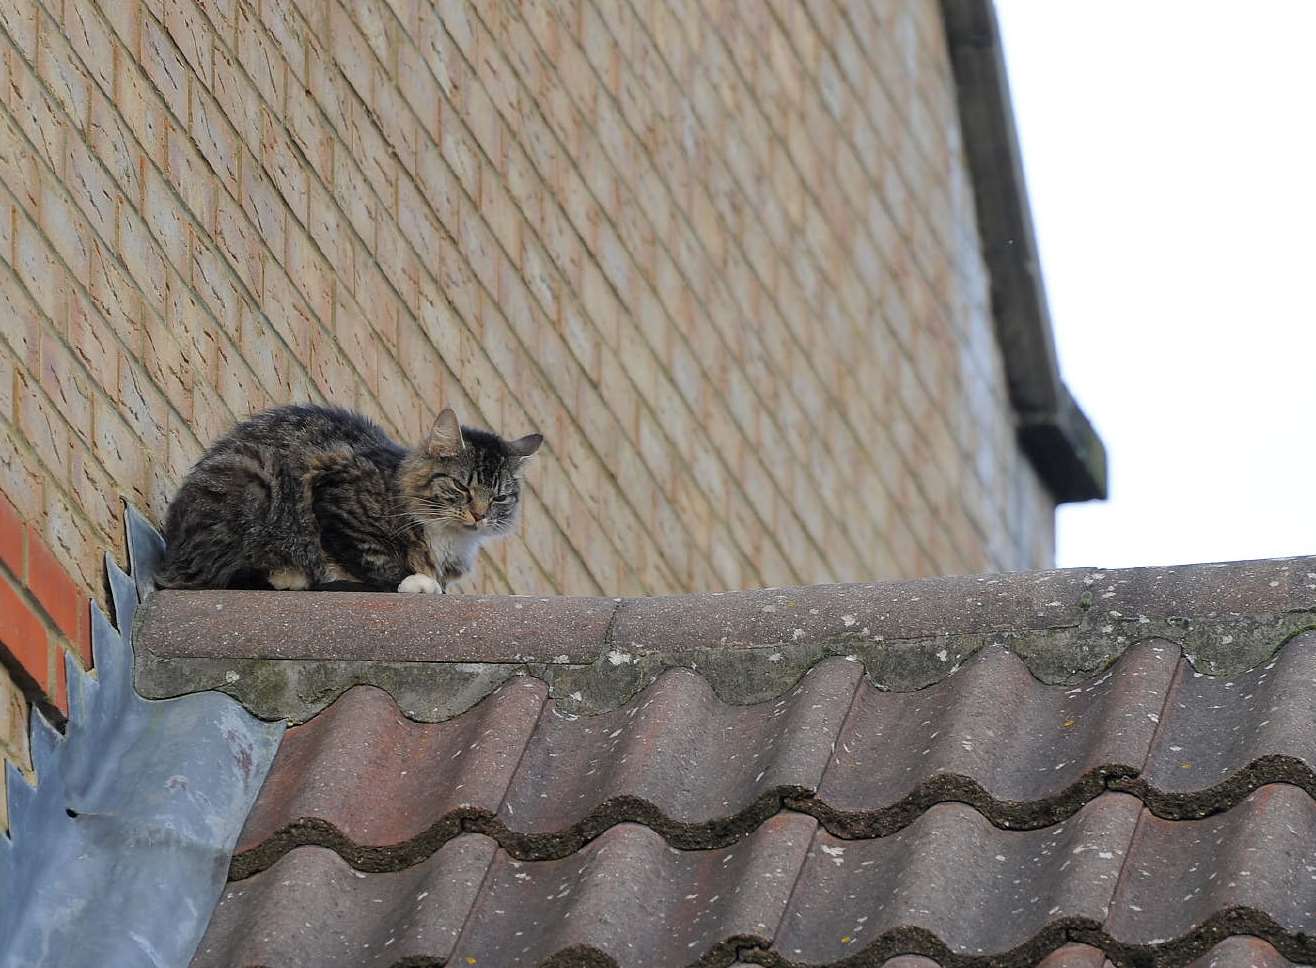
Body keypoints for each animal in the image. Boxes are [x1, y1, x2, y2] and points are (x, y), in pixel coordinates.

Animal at [156, 405, 542, 594]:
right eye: (462, 487)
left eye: (499, 497)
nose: (479, 515)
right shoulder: (335, 492)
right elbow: (373, 557)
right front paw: (413, 581)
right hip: (257, 479)